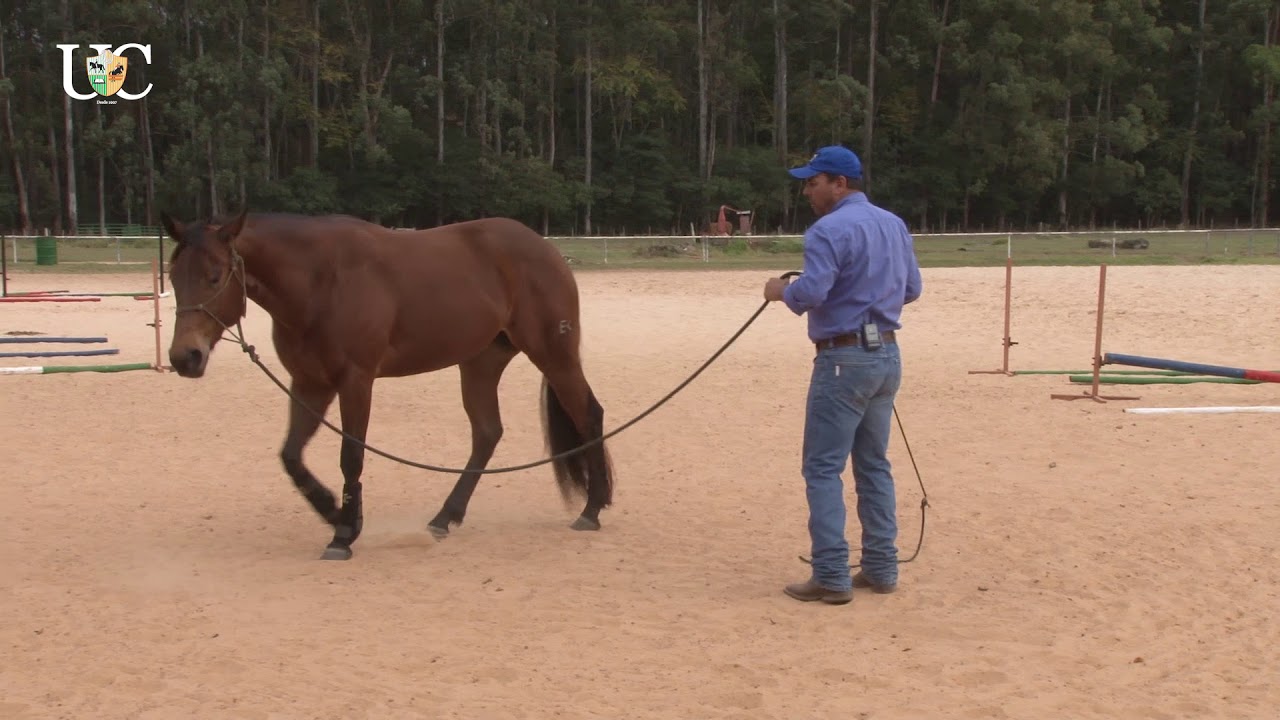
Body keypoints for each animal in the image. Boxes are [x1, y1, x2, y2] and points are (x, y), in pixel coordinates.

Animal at [160, 208, 615, 561]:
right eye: (173, 276)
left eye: (215, 276)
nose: (185, 357)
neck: (320, 281)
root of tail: (544, 247)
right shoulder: (309, 384)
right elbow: (291, 457)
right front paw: (334, 512)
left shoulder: (356, 381)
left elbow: (351, 456)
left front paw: (344, 534)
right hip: (480, 364)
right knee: (487, 433)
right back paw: (444, 518)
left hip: (554, 355)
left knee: (588, 415)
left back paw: (591, 510)